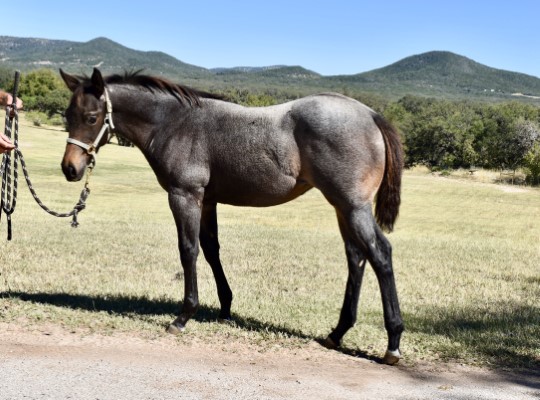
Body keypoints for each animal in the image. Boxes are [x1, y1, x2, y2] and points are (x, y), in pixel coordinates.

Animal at [60, 69, 404, 366]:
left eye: (91, 117)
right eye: (67, 116)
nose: (70, 169)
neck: (173, 122)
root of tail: (371, 115)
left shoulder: (185, 195)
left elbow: (188, 250)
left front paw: (183, 316)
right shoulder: (207, 201)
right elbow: (211, 250)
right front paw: (225, 307)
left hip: (353, 207)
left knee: (380, 254)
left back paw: (393, 343)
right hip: (342, 208)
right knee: (356, 257)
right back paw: (337, 333)